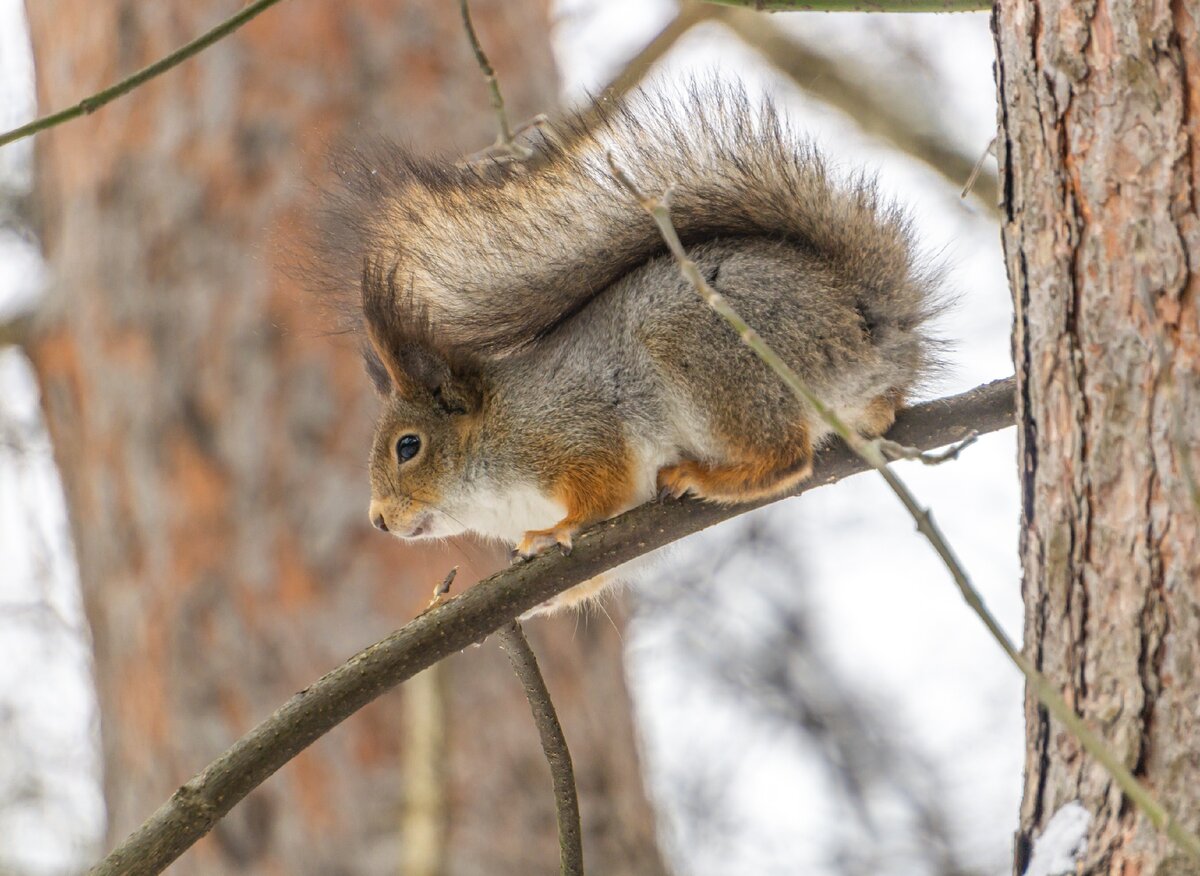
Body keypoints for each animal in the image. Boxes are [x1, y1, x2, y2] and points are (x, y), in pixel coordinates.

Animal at [319, 85, 945, 612]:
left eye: (408, 446)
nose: (378, 520)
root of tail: (866, 326)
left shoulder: (575, 432)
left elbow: (601, 489)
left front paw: (556, 529)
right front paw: (541, 595)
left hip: (710, 357)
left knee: (786, 456)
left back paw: (704, 476)